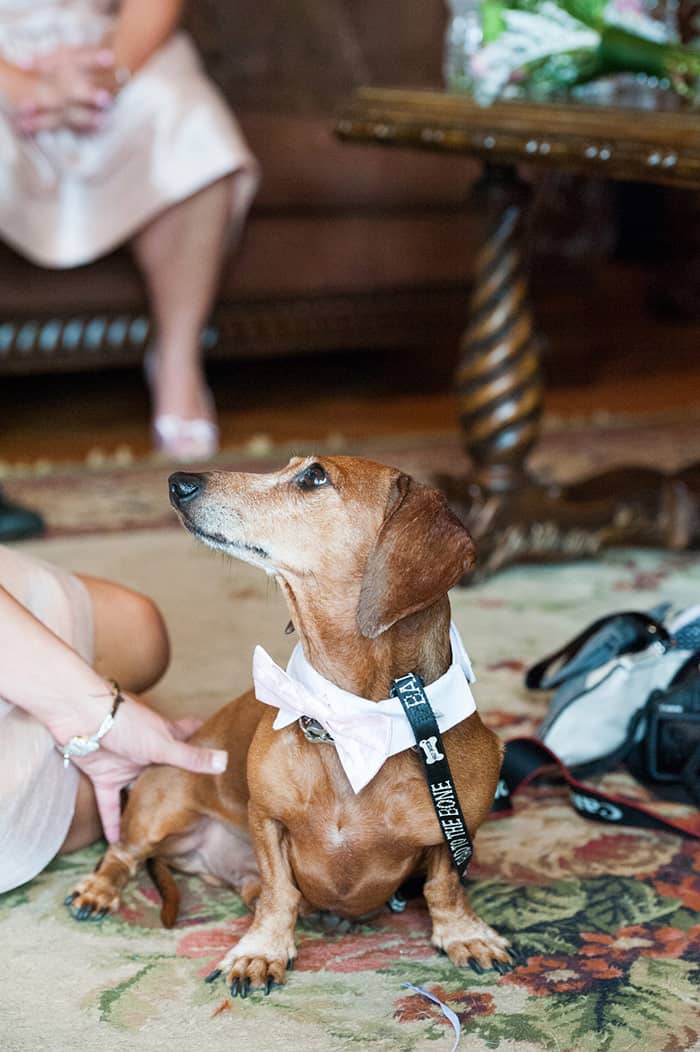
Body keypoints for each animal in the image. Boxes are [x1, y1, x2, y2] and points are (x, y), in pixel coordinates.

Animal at [68, 454, 511, 993]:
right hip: (158, 804)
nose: (178, 481)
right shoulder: (266, 818)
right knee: (123, 853)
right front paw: (260, 951)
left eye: (314, 476)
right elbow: (281, 892)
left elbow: (443, 886)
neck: (352, 721)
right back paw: (97, 889)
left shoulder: (454, 830)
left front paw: (465, 934)